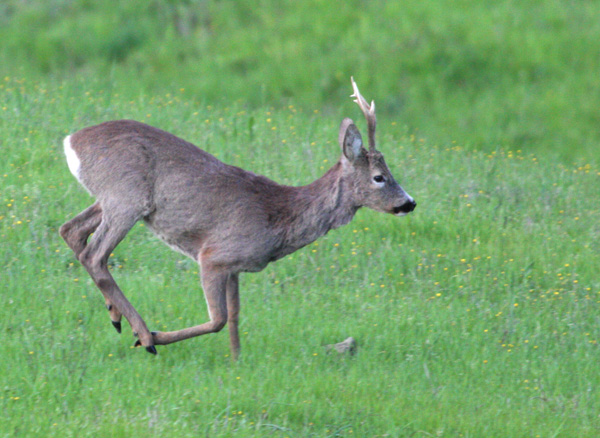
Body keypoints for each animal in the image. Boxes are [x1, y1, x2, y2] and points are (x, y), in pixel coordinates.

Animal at [62, 78, 418, 358]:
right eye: (379, 177)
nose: (409, 202)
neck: (280, 219)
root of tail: (71, 142)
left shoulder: (235, 267)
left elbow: (234, 316)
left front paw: (236, 363)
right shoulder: (213, 255)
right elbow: (217, 319)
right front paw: (156, 339)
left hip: (110, 199)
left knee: (71, 231)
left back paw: (115, 316)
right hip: (127, 197)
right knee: (94, 254)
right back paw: (145, 334)